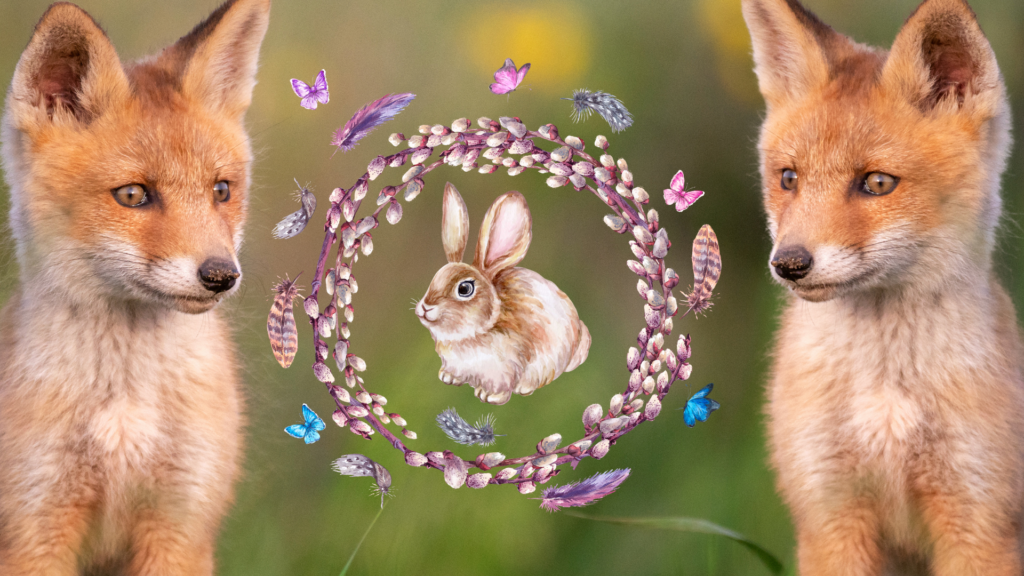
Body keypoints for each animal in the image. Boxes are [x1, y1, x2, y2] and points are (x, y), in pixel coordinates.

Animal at [0, 0, 269, 574]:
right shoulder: (33, 528)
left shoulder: (181, 523)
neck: (125, 408)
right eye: (132, 195)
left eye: (221, 190)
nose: (221, 275)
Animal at [741, 0, 1021, 573]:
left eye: (876, 183)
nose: (789, 263)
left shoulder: (981, 520)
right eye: (788, 178)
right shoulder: (829, 513)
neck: (885, 396)